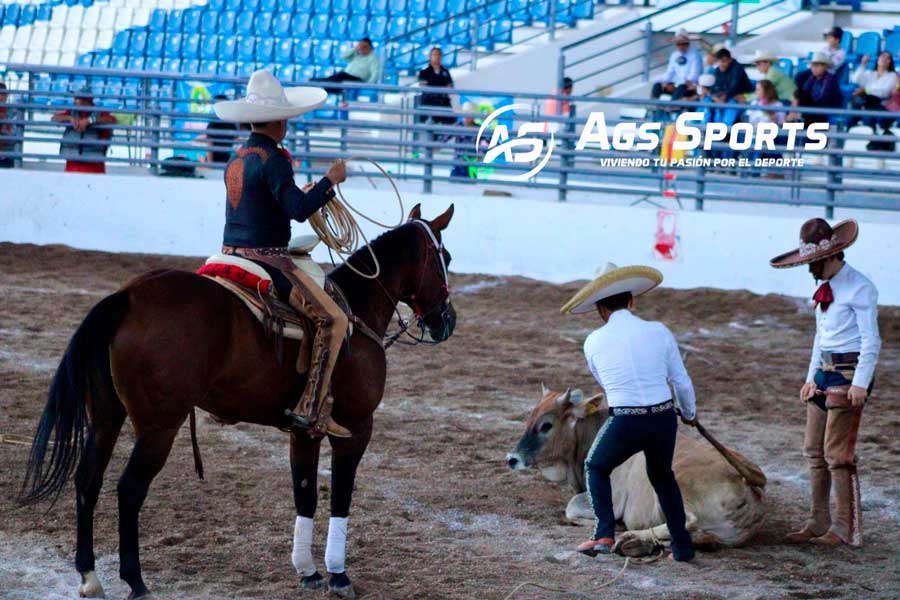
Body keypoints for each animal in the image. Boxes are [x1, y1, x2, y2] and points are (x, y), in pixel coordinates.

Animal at [21, 205, 458, 600]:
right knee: (129, 490)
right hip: (159, 428)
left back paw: (89, 576)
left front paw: (308, 572)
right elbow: (341, 495)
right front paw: (338, 575)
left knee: (87, 480)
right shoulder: (355, 426)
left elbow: (305, 493)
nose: (447, 320)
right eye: (447, 259)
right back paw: (136, 582)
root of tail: (127, 296)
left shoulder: (303, 433)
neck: (357, 309)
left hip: (105, 418)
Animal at [506, 386, 768, 556]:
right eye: (529, 418)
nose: (512, 459)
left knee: (688, 522)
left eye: (546, 425)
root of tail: (748, 485)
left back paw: (629, 538)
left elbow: (572, 507)